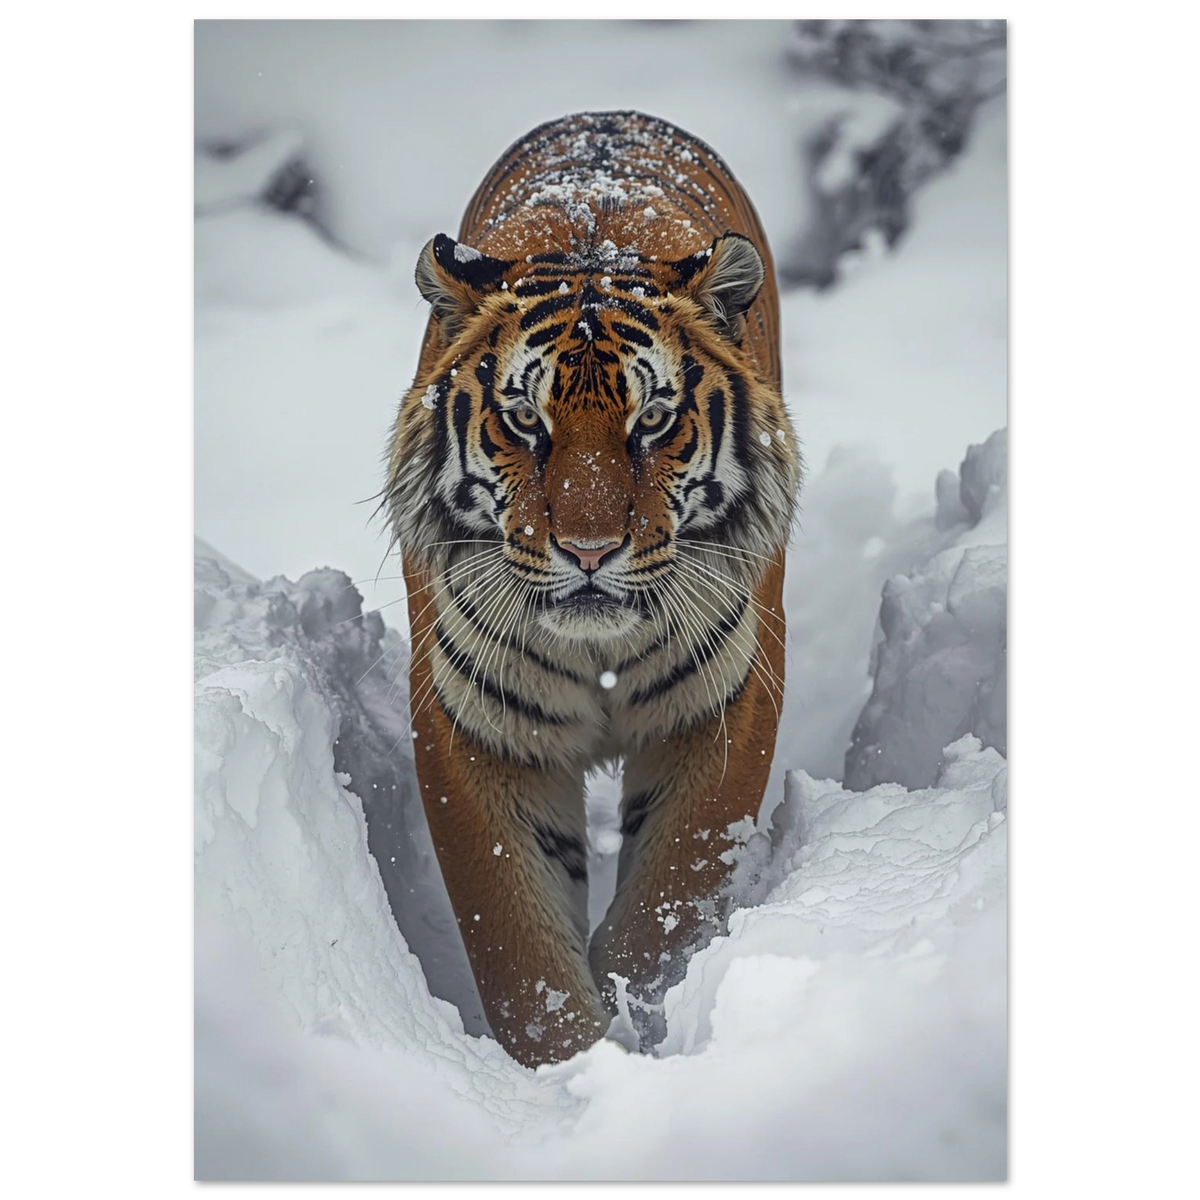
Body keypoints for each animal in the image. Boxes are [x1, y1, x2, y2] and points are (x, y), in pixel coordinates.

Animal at [383, 111, 800, 1067]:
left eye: (653, 420)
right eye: (524, 421)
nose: (588, 549)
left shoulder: (723, 703)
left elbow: (668, 897)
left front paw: (632, 1008)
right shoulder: (475, 726)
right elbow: (517, 945)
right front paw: (571, 1063)